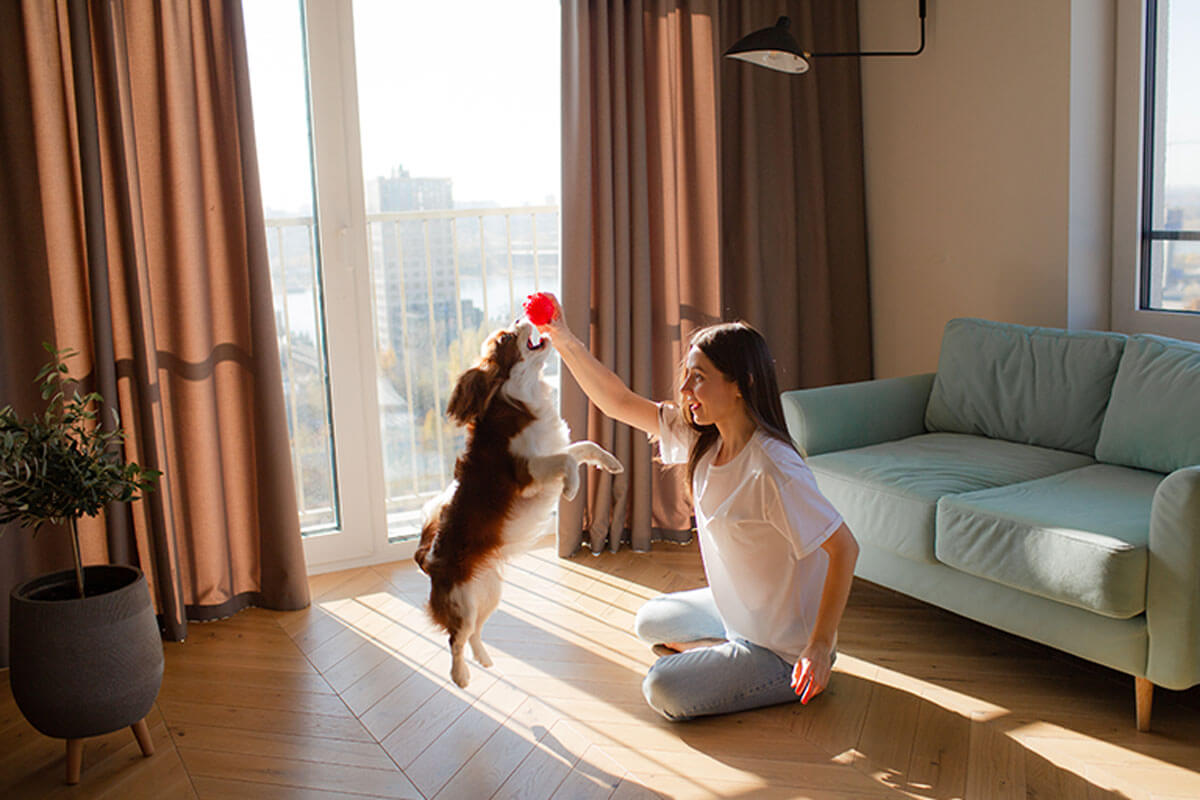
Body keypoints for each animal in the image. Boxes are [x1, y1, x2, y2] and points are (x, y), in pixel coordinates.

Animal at [415, 319, 624, 690]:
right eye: (508, 338)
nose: (520, 318)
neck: (523, 393)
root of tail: (427, 559)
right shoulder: (527, 473)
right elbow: (567, 462)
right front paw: (572, 488)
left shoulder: (551, 450)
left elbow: (584, 447)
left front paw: (610, 461)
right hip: (463, 603)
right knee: (456, 638)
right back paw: (460, 675)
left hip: (489, 593)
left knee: (474, 634)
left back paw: (484, 659)